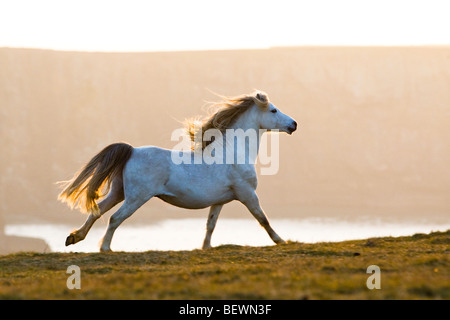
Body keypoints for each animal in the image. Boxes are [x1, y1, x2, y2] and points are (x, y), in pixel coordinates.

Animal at [58, 90, 298, 252]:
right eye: (273, 110)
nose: (294, 124)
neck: (233, 153)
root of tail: (132, 151)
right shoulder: (247, 194)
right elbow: (263, 219)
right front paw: (281, 240)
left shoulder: (220, 200)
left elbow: (210, 224)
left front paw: (206, 247)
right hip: (136, 197)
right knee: (115, 218)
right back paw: (105, 248)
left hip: (119, 192)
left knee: (97, 210)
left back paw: (74, 238)